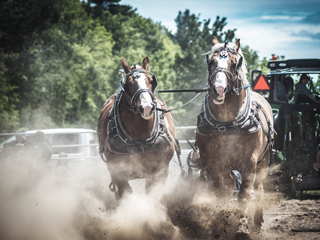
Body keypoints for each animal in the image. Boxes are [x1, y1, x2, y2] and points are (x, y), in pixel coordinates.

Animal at [97, 56, 178, 201]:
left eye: (151, 81)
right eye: (129, 83)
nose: (146, 107)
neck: (141, 138)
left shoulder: (160, 172)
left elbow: (153, 194)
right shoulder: (117, 172)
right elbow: (126, 194)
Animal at [196, 37, 274, 236]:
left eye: (233, 63)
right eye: (211, 61)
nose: (219, 90)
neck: (227, 123)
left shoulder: (250, 162)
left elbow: (244, 195)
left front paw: (241, 228)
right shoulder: (213, 163)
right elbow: (220, 193)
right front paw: (220, 223)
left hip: (263, 161)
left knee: (259, 188)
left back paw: (258, 222)